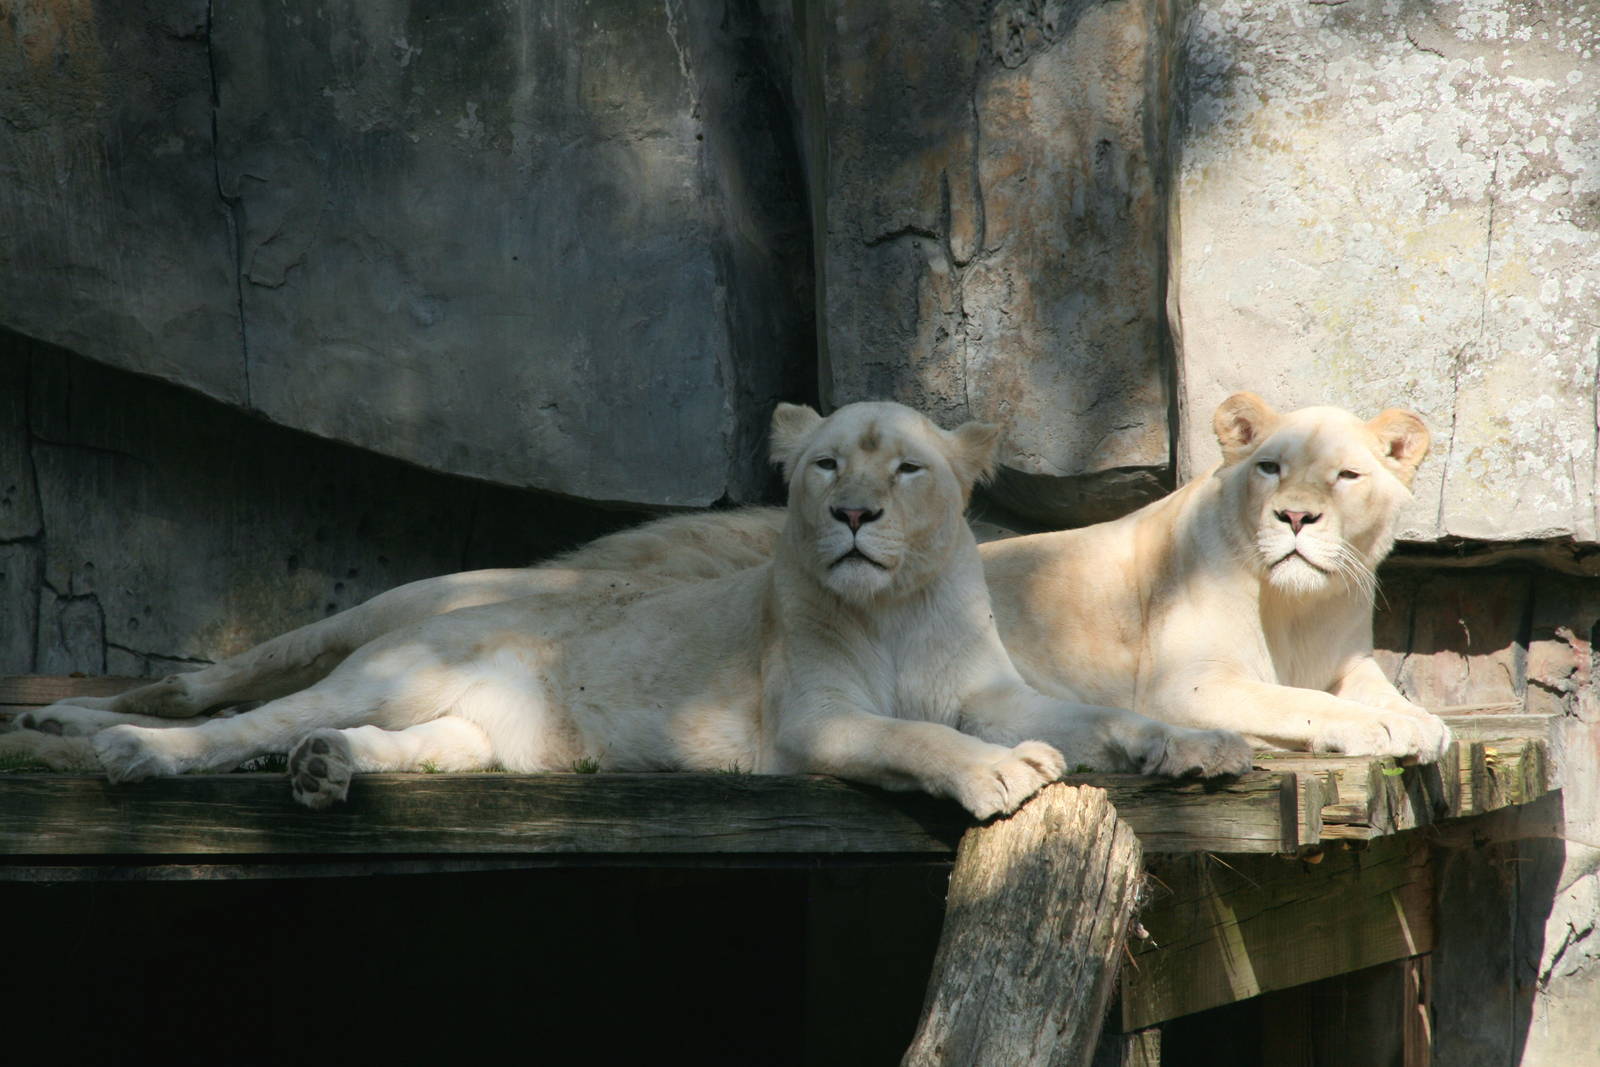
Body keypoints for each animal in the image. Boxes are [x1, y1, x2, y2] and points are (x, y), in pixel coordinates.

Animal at [4, 402, 1251, 814]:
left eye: (904, 470)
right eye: (824, 463)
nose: (851, 513)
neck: (896, 606)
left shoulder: (1000, 689)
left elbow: (1105, 716)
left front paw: (1197, 744)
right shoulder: (812, 722)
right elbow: (915, 735)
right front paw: (998, 775)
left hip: (467, 735)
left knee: (368, 739)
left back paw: (326, 769)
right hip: (379, 654)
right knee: (228, 709)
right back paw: (120, 743)